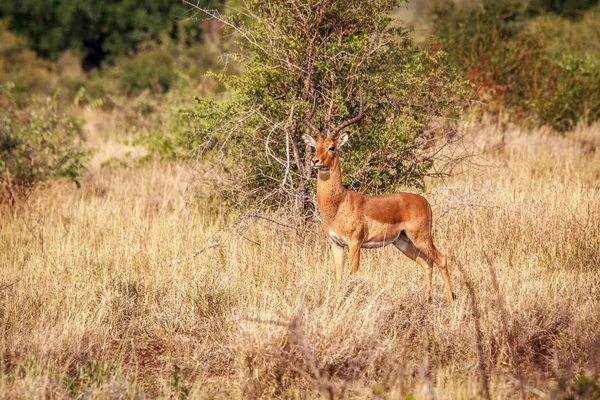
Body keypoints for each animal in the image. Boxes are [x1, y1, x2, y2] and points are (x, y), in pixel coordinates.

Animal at [302, 94, 458, 304]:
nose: (315, 161)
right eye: (315, 146)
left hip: (421, 238)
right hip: (403, 242)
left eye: (332, 147)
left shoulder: (355, 243)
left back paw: (452, 299)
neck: (339, 204)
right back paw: (428, 299)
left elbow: (353, 275)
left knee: (441, 259)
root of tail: (424, 201)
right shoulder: (335, 244)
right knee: (426, 263)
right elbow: (338, 277)